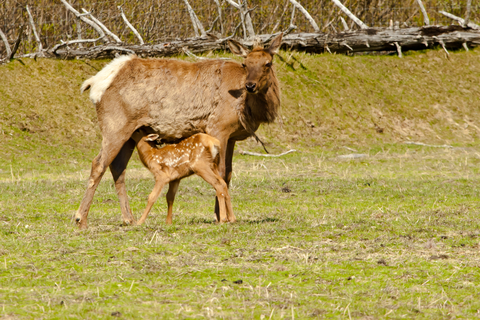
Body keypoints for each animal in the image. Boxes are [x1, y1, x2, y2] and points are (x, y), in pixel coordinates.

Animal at [76, 32, 282, 229]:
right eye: (245, 64)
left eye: (268, 63)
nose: (250, 85)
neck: (249, 108)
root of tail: (95, 83)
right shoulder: (218, 127)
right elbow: (222, 173)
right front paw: (220, 216)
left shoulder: (231, 137)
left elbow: (229, 174)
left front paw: (224, 215)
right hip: (115, 125)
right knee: (98, 164)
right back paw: (81, 219)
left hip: (129, 133)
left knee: (117, 167)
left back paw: (129, 219)